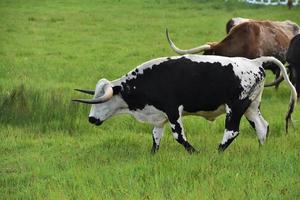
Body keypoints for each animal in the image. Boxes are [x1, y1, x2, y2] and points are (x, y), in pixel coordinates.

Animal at [74, 54, 296, 153]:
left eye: (103, 100)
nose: (91, 118)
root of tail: (254, 62)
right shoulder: (159, 117)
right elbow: (156, 137)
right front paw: (153, 155)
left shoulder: (173, 111)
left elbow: (179, 136)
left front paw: (194, 152)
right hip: (251, 107)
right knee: (262, 126)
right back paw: (261, 150)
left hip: (235, 107)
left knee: (232, 131)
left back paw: (217, 152)